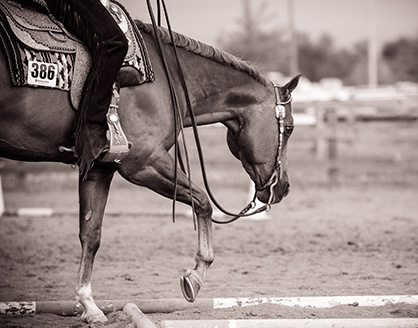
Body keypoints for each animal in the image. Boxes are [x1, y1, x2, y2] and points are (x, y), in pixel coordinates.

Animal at [0, 18, 300, 322]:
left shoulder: (99, 168)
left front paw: (89, 306)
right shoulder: (144, 162)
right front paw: (195, 276)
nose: (284, 187)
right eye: (289, 129)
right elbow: (202, 202)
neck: (170, 79)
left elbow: (91, 234)